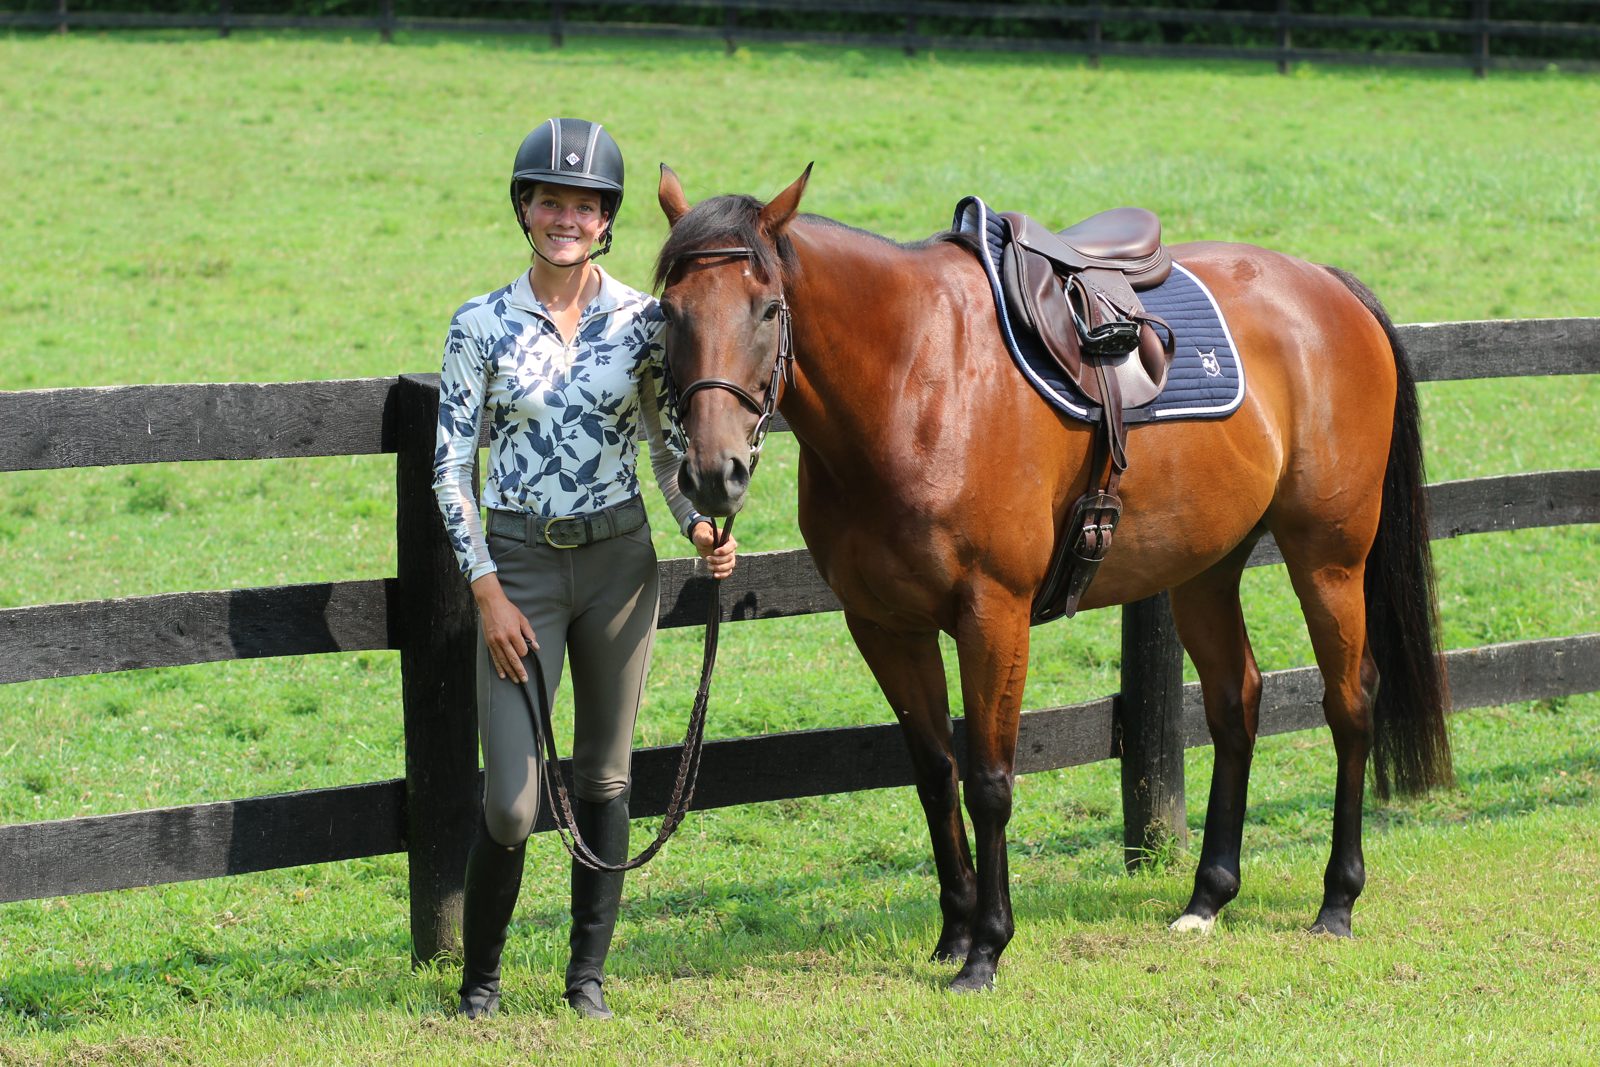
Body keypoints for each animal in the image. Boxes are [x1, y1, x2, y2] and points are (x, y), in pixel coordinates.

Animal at [651, 164, 1452, 992]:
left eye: (769, 307)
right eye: (666, 312)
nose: (713, 472)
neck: (914, 379)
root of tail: (1326, 284)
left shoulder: (992, 614)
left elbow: (990, 780)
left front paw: (987, 947)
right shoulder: (884, 626)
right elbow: (934, 773)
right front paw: (953, 931)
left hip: (1328, 557)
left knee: (1350, 701)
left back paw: (1337, 899)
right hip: (1206, 570)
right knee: (1237, 703)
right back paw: (1207, 897)